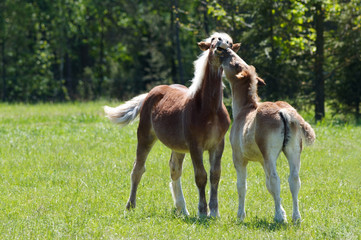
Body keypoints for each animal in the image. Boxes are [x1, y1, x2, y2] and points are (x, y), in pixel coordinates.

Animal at [104, 32, 239, 218]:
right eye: (214, 40)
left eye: (230, 42)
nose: (222, 44)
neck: (209, 109)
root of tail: (150, 93)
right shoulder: (195, 146)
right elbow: (201, 176)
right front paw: (202, 212)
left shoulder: (218, 144)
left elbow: (215, 175)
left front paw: (214, 212)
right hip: (145, 136)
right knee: (138, 169)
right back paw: (130, 206)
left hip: (178, 147)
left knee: (174, 170)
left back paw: (182, 209)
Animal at [218, 47, 314, 222]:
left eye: (235, 63)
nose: (225, 51)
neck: (244, 109)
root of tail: (284, 111)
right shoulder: (262, 161)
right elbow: (268, 184)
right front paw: (282, 211)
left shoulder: (239, 158)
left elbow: (242, 186)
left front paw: (240, 215)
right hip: (293, 151)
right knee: (294, 180)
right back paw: (295, 217)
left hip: (270, 154)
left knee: (277, 180)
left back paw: (279, 218)